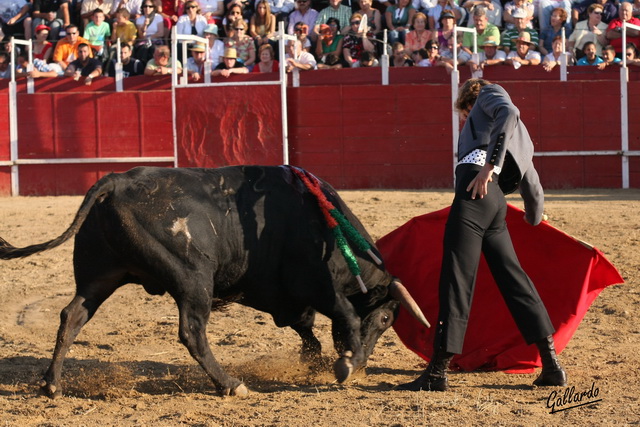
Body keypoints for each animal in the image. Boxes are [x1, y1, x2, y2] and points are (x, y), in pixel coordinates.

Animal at [1, 166, 430, 398]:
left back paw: (51, 385)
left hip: (101, 276)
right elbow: (344, 314)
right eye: (387, 319)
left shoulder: (284, 295)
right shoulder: (316, 283)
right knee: (193, 332)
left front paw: (319, 361)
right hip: (193, 280)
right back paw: (230, 384)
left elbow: (307, 328)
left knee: (72, 316)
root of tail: (116, 182)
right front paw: (347, 363)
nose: (366, 365)